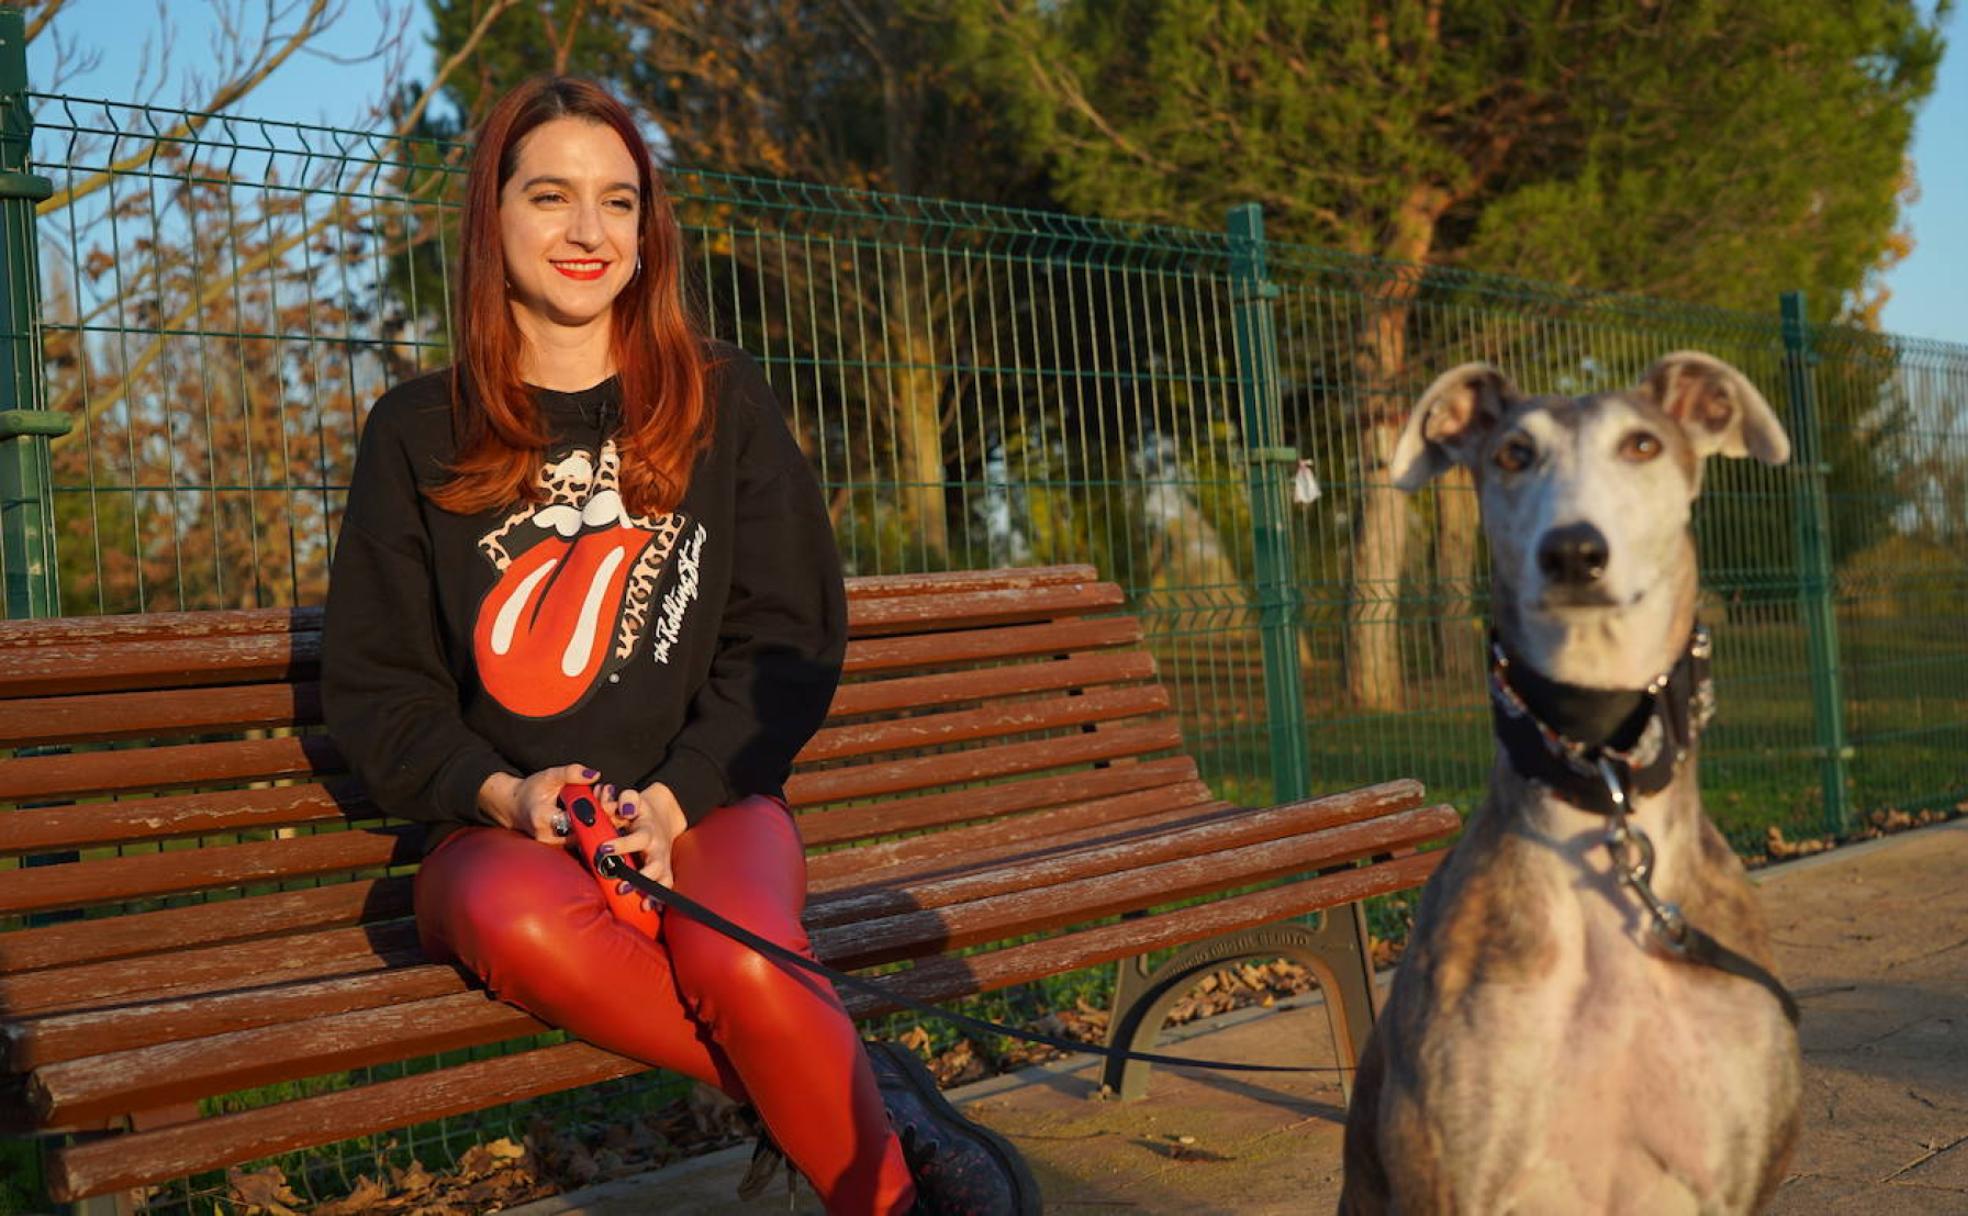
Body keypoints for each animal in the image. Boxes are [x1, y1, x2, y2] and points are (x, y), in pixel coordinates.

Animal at [1339, 353, 1804, 1214]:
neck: (1601, 776)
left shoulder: (1733, 1180)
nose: (1574, 553)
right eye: (1514, 453)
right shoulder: (1450, 1175)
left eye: (1643, 445)